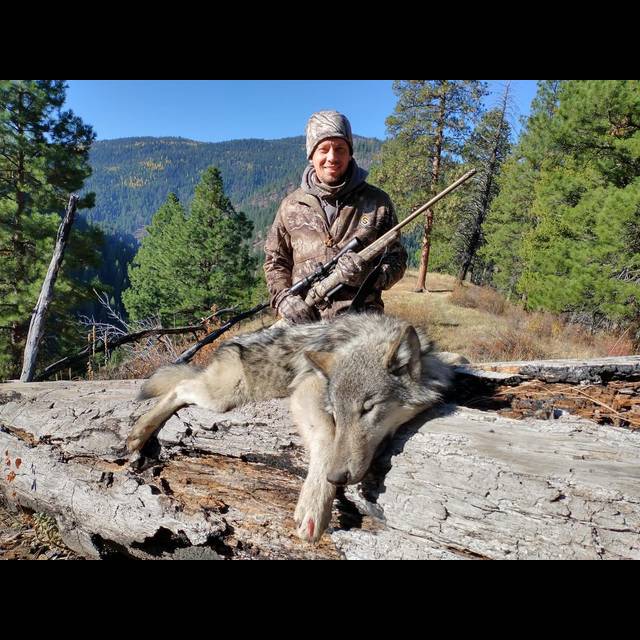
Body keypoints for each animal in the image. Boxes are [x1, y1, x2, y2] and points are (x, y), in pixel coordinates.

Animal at [126, 312, 454, 543]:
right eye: (336, 414)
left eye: (367, 409)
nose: (337, 477)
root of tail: (226, 345)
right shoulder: (306, 389)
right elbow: (326, 439)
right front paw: (314, 504)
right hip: (222, 397)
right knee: (179, 386)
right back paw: (139, 432)